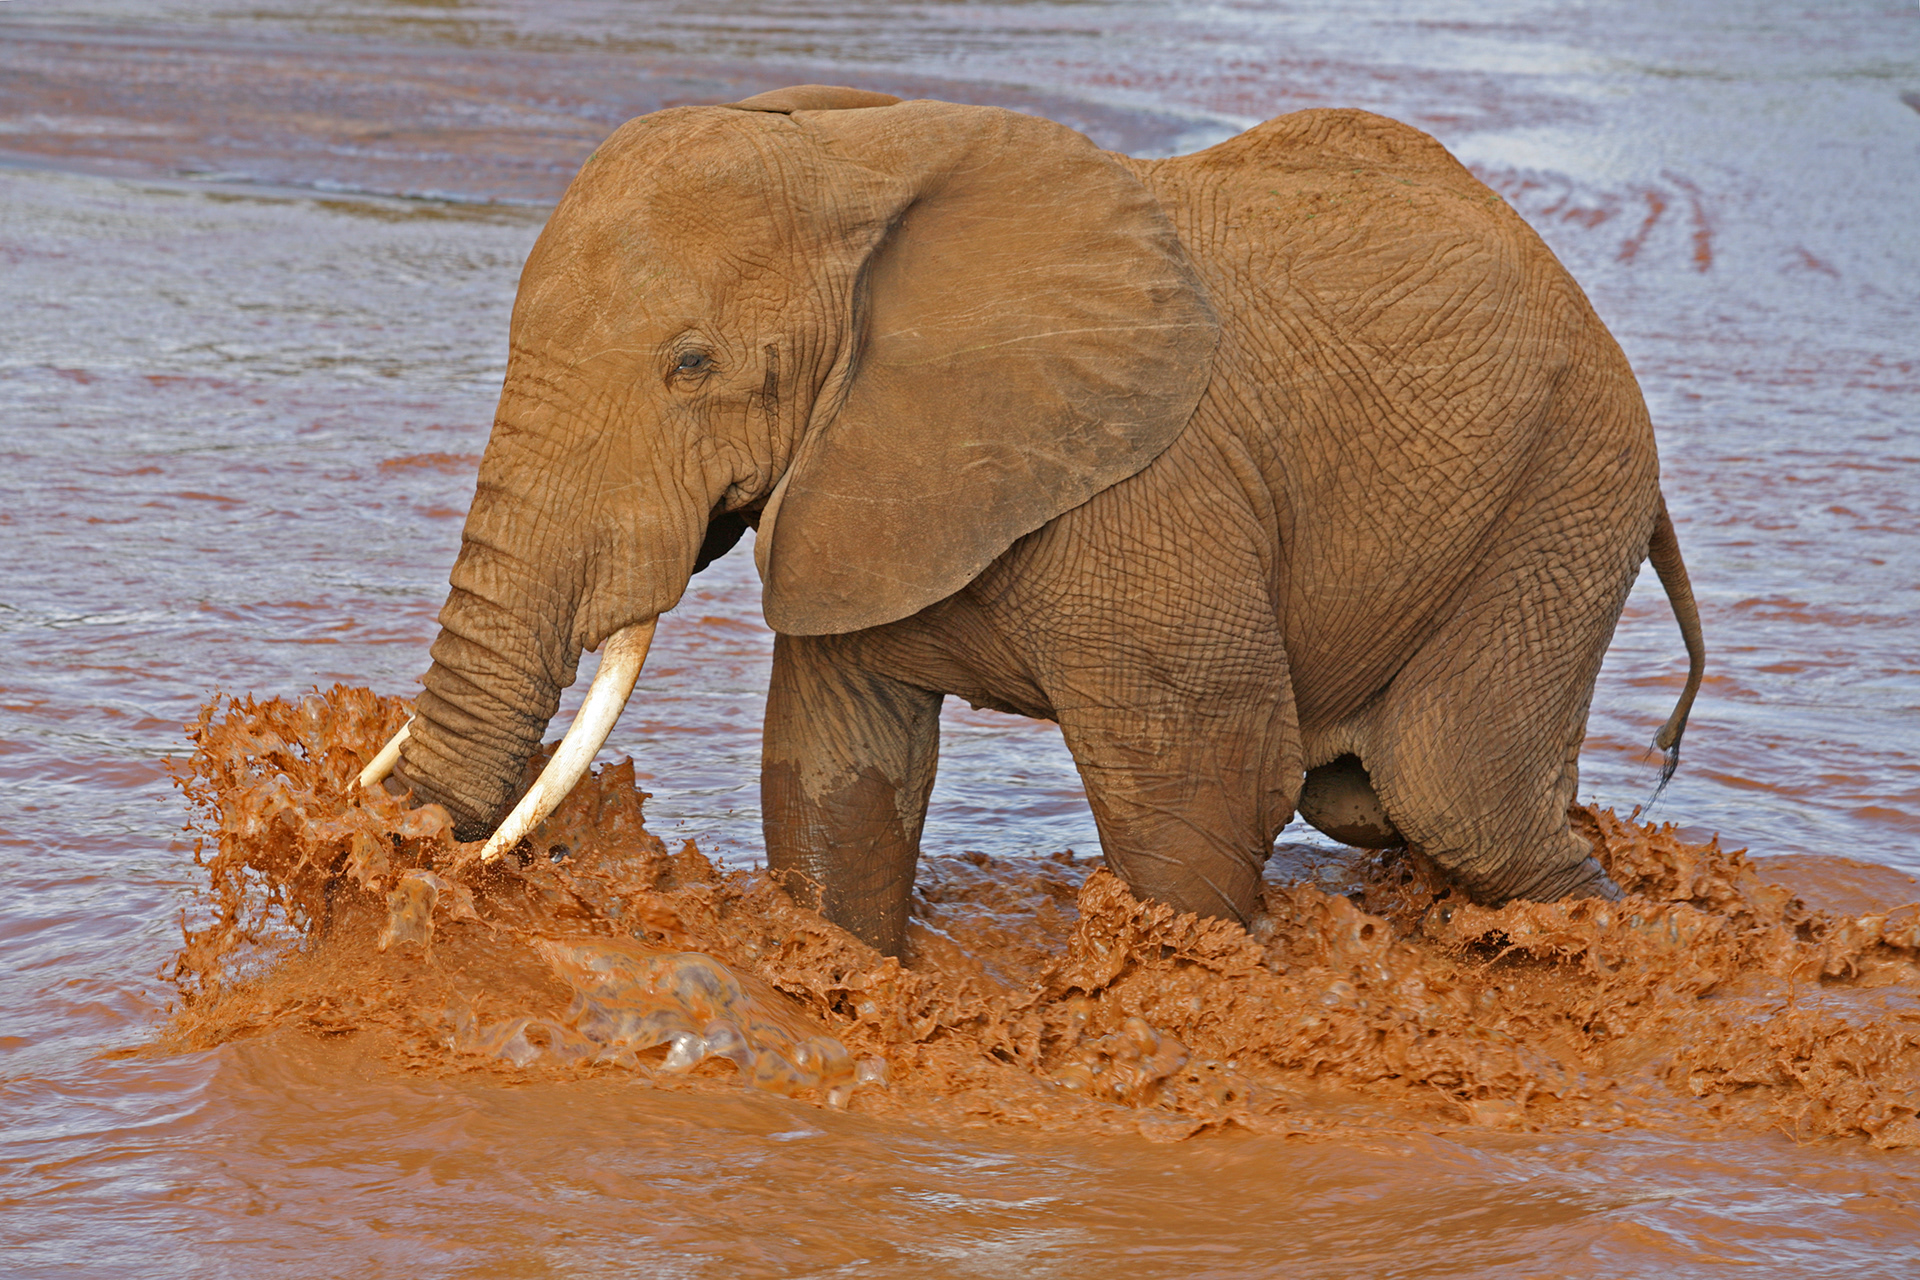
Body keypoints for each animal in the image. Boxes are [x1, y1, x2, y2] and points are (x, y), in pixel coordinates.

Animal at [363, 84, 1706, 958]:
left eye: (692, 365)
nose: (393, 847)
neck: (855, 161)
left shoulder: (1154, 495)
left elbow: (1199, 790)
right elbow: (835, 773)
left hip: (1564, 491)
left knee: (1454, 795)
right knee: (1387, 801)